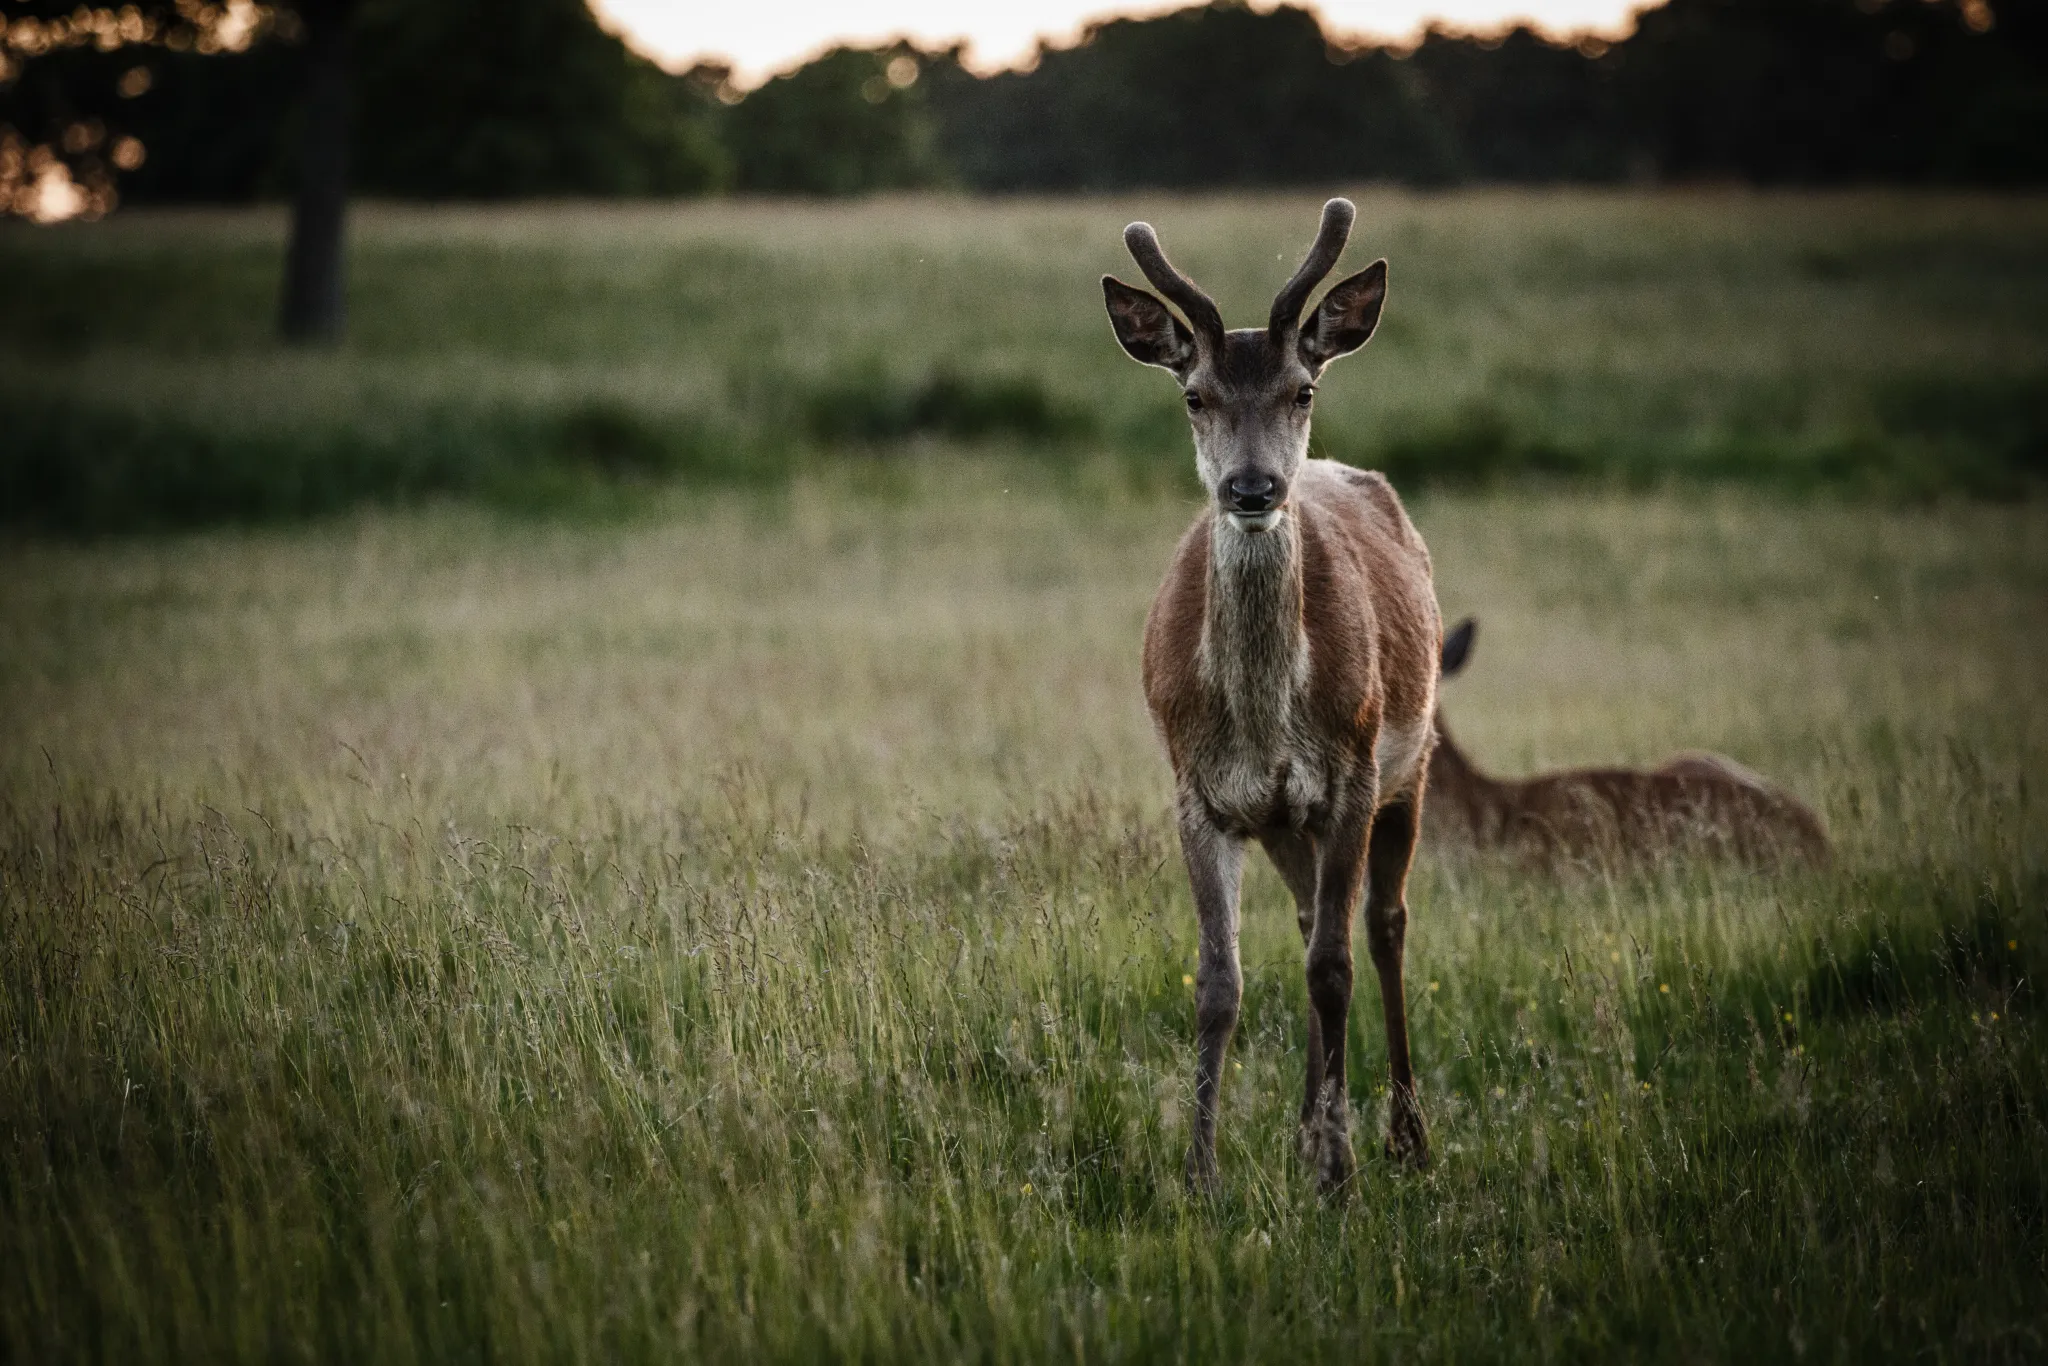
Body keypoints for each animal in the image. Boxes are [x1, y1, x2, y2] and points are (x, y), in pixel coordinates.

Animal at [1103, 199, 1440, 1194]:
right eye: (1194, 395)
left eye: (1302, 390)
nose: (1253, 487)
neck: (1262, 723)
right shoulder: (1197, 793)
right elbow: (1220, 982)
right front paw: (1199, 1170)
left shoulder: (1352, 774)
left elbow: (1333, 969)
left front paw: (1340, 1172)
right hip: (1291, 825)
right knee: (1303, 925)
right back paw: (1302, 1128)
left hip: (1412, 762)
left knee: (1382, 928)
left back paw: (1404, 1136)